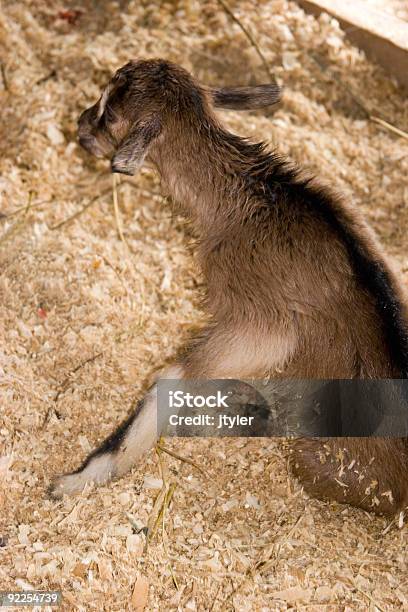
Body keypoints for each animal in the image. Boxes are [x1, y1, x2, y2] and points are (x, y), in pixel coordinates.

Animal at [51, 58, 408, 516]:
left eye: (109, 112)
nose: (79, 126)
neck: (248, 200)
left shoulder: (261, 323)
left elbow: (172, 376)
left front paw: (78, 479)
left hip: (313, 456)